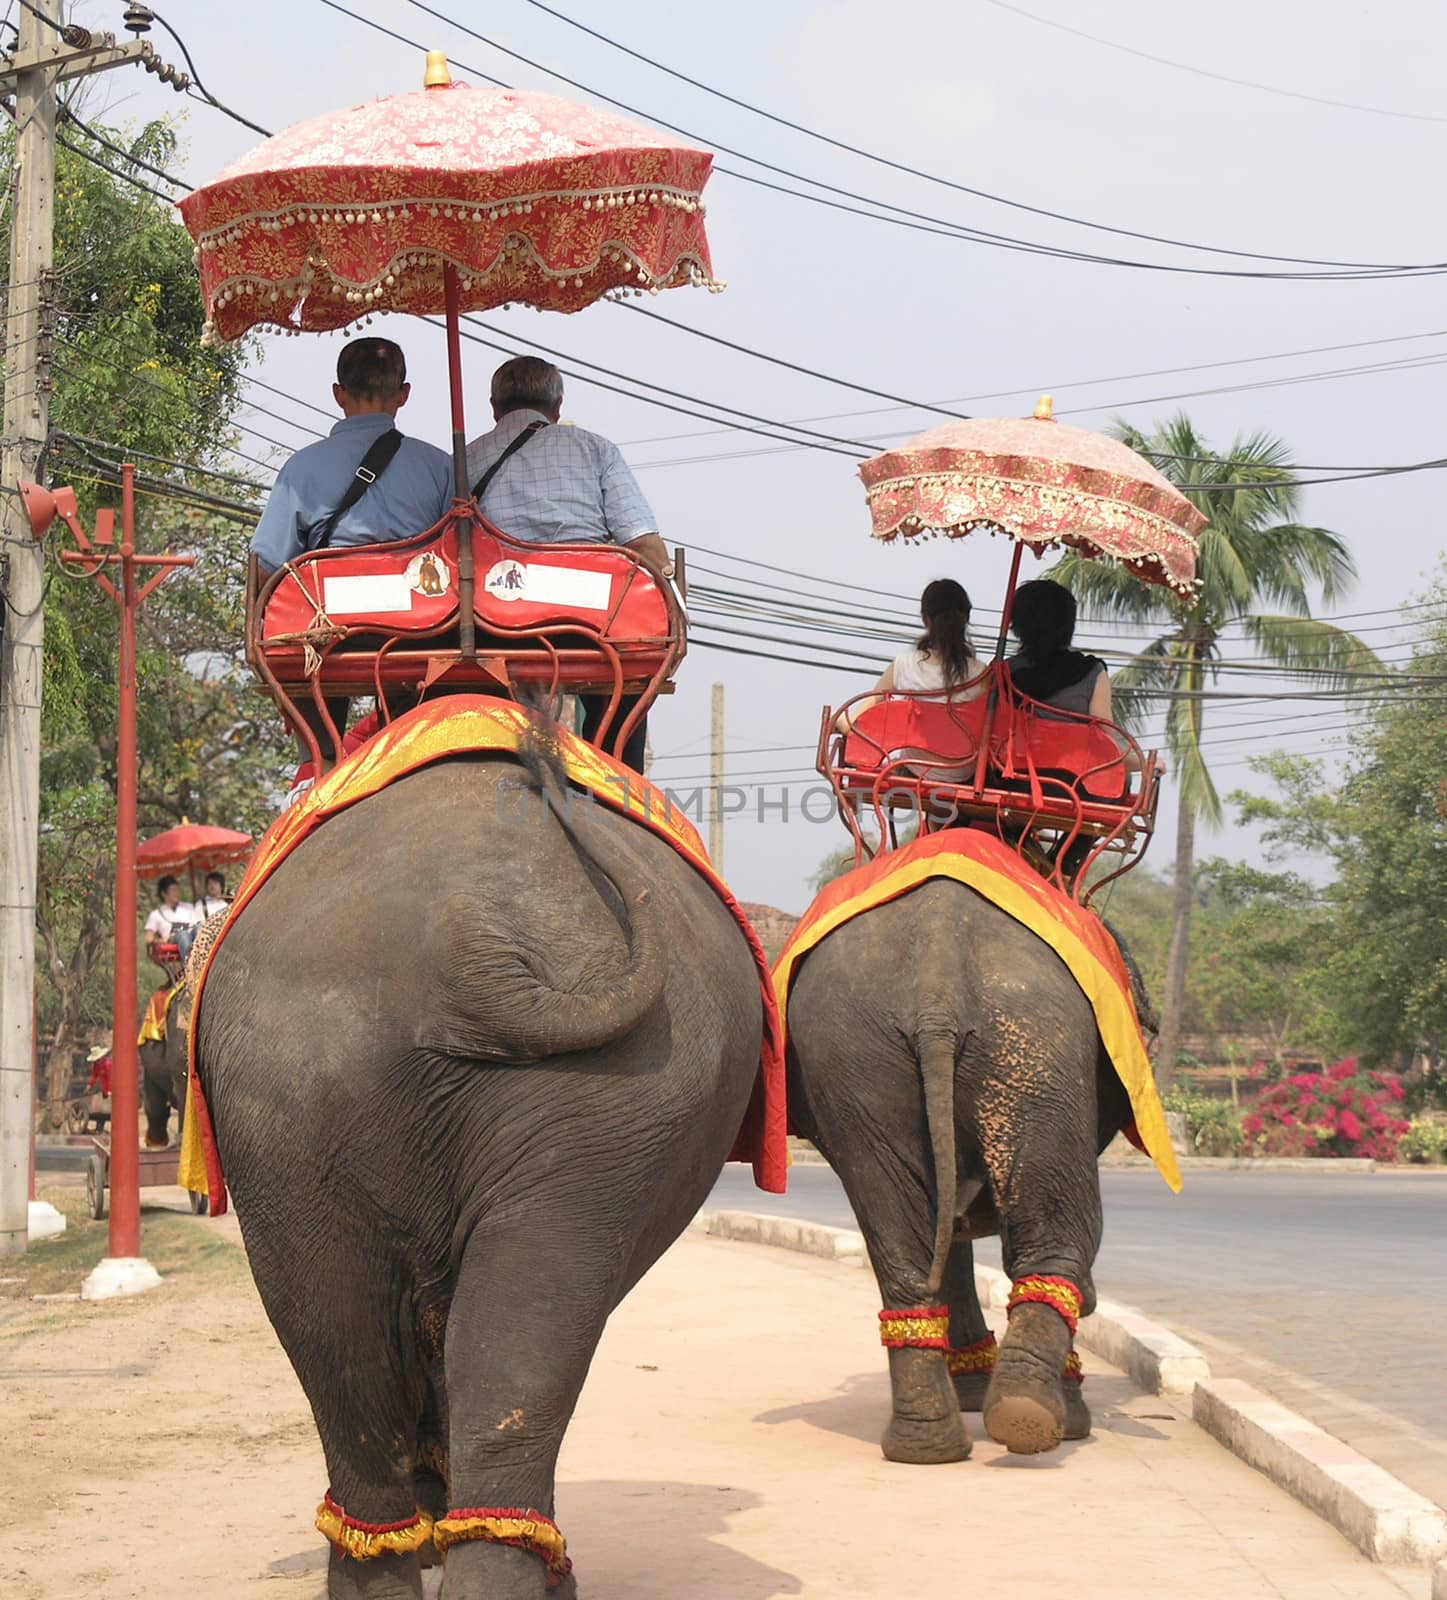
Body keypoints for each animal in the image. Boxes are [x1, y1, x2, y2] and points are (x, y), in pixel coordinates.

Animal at [781, 883, 1152, 1465]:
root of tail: (936, 991)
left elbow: (948, 1228)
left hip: (854, 1059)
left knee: (902, 1228)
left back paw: (931, 1445)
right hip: (1034, 1046)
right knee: (1060, 1233)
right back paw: (1035, 1419)